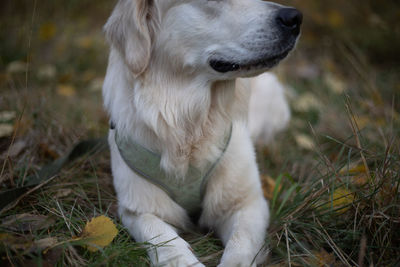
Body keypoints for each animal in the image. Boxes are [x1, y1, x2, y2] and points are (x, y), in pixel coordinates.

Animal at [101, 1, 302, 266]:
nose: (294, 17)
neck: (189, 121)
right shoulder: (138, 208)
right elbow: (164, 239)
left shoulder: (247, 203)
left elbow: (240, 246)